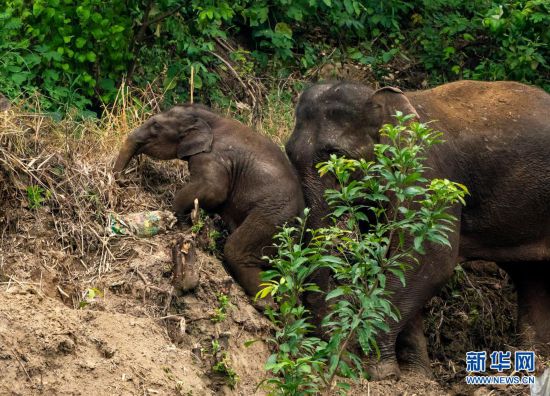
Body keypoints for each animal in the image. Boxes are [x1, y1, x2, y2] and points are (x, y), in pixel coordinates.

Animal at [115, 104, 306, 296]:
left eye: (156, 125)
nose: (123, 181)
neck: (210, 118)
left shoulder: (213, 156)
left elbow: (214, 190)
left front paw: (178, 221)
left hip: (273, 217)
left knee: (235, 250)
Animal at [286, 79, 550, 378]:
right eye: (288, 154)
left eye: (337, 156)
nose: (329, 350)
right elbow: (396, 260)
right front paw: (415, 376)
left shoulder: (428, 179)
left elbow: (427, 259)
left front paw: (380, 373)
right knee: (531, 275)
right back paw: (531, 362)